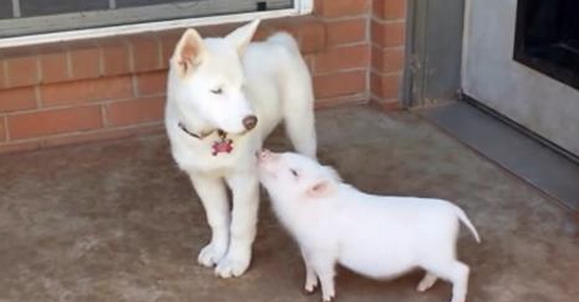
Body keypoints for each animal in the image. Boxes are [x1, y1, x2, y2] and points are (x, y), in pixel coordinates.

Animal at [163, 19, 318, 278]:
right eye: (216, 91)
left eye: (243, 87)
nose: (251, 122)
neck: (209, 136)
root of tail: (277, 42)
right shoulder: (203, 179)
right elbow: (217, 218)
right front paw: (217, 249)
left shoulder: (244, 178)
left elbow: (240, 224)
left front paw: (235, 260)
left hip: (301, 123)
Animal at [258, 150, 480, 302]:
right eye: (286, 154)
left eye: (294, 172)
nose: (263, 152)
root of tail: (452, 210)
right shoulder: (306, 244)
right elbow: (308, 265)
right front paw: (308, 288)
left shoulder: (324, 249)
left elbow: (325, 272)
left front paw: (327, 297)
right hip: (435, 257)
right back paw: (420, 288)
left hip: (437, 254)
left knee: (463, 270)